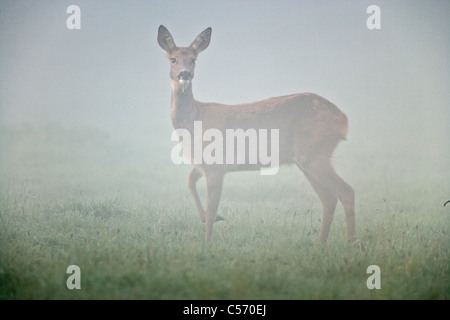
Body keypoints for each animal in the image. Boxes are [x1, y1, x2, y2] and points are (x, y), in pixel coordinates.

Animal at [158, 25, 356, 244]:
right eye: (173, 59)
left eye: (194, 59)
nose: (185, 73)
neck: (195, 120)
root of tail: (343, 119)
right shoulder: (203, 163)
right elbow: (190, 180)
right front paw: (210, 220)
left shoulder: (215, 165)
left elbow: (211, 208)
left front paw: (207, 242)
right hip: (307, 159)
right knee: (329, 197)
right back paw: (321, 243)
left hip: (314, 153)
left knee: (346, 191)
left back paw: (351, 243)